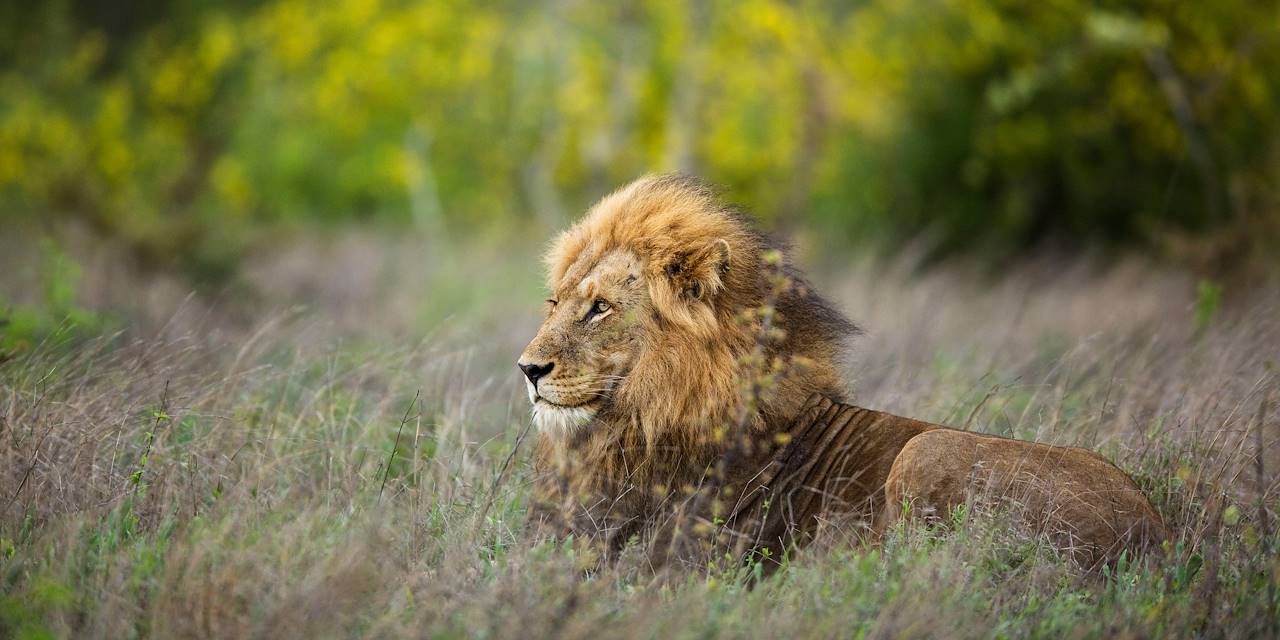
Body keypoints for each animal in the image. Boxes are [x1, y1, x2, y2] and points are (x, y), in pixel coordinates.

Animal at [518, 174, 1167, 570]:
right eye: (554, 303)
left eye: (600, 308)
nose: (528, 368)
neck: (641, 423)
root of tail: (1155, 538)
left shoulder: (676, 565)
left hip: (926, 451)